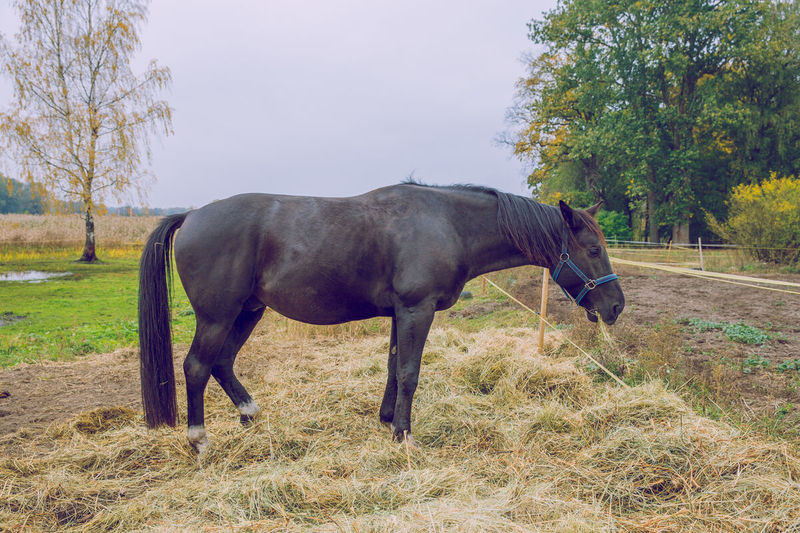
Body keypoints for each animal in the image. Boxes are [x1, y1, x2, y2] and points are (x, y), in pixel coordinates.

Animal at [138, 183, 624, 454]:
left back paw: (250, 414)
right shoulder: (416, 309)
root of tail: (192, 215)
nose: (616, 307)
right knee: (197, 367)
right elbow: (409, 372)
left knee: (222, 364)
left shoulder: (399, 314)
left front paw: (389, 421)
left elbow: (393, 368)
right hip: (218, 316)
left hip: (247, 312)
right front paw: (405, 436)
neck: (448, 224)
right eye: (593, 249)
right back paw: (200, 440)